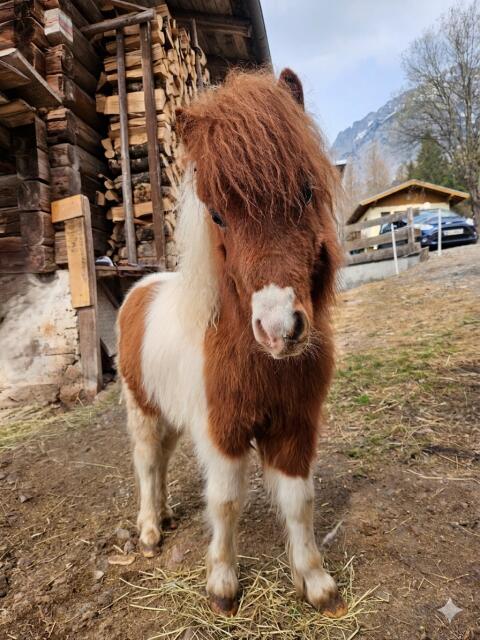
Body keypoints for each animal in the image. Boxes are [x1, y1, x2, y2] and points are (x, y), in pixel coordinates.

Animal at [117, 68, 346, 618]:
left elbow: (300, 502)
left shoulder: (294, 427)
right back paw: (150, 531)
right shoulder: (223, 431)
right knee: (146, 463)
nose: (280, 329)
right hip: (142, 409)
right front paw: (222, 584)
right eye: (218, 215)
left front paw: (315, 583)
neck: (257, 358)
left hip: (171, 415)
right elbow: (224, 501)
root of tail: (140, 288)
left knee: (161, 459)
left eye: (306, 191)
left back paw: (164, 519)